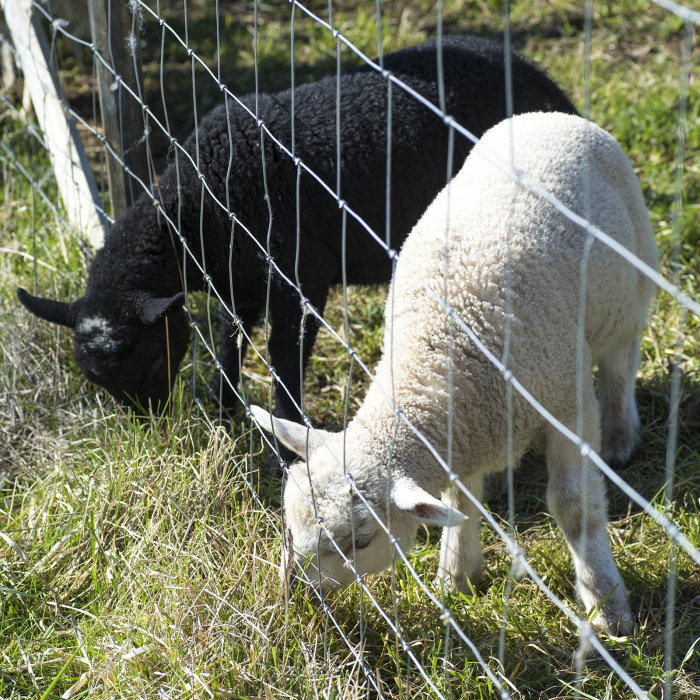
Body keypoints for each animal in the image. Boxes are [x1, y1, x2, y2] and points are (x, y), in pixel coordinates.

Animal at [17, 35, 576, 422]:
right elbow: (229, 344)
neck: (200, 205)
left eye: (154, 362)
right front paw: (225, 415)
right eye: (98, 384)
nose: (150, 425)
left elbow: (285, 361)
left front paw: (288, 446)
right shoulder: (237, 283)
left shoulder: (300, 280)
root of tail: (545, 81)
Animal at [253, 112, 660, 636]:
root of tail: (551, 117)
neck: (433, 357)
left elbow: (573, 507)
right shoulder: (465, 427)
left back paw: (619, 438)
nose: (291, 598)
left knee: (619, 364)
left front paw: (606, 605)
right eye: (289, 521)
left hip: (627, 293)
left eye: (360, 542)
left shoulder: (567, 406)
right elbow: (462, 501)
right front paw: (456, 576)